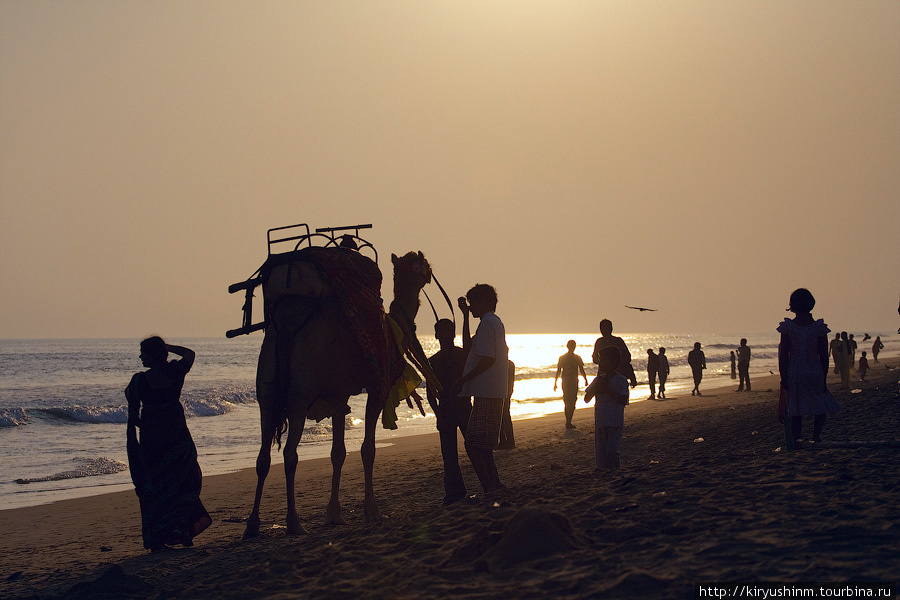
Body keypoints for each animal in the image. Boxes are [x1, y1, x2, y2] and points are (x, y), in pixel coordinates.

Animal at [241, 246, 434, 536]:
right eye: (423, 264)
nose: (431, 273)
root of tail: (286, 324)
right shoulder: (377, 387)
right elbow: (367, 449)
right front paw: (372, 511)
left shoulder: (338, 396)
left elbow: (338, 453)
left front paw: (334, 514)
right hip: (299, 395)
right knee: (289, 453)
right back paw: (294, 522)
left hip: (266, 390)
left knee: (263, 455)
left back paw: (252, 525)